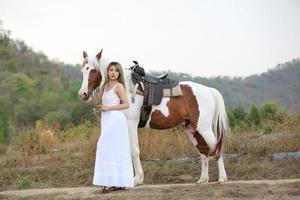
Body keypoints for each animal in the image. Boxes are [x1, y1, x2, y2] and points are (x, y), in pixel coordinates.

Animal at [78, 50, 230, 185]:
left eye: (93, 70)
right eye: (83, 70)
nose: (83, 94)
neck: (127, 88)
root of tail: (209, 90)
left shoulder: (131, 124)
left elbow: (134, 151)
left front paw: (137, 179)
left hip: (204, 128)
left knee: (216, 147)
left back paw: (222, 178)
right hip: (192, 129)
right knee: (204, 151)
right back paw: (203, 179)